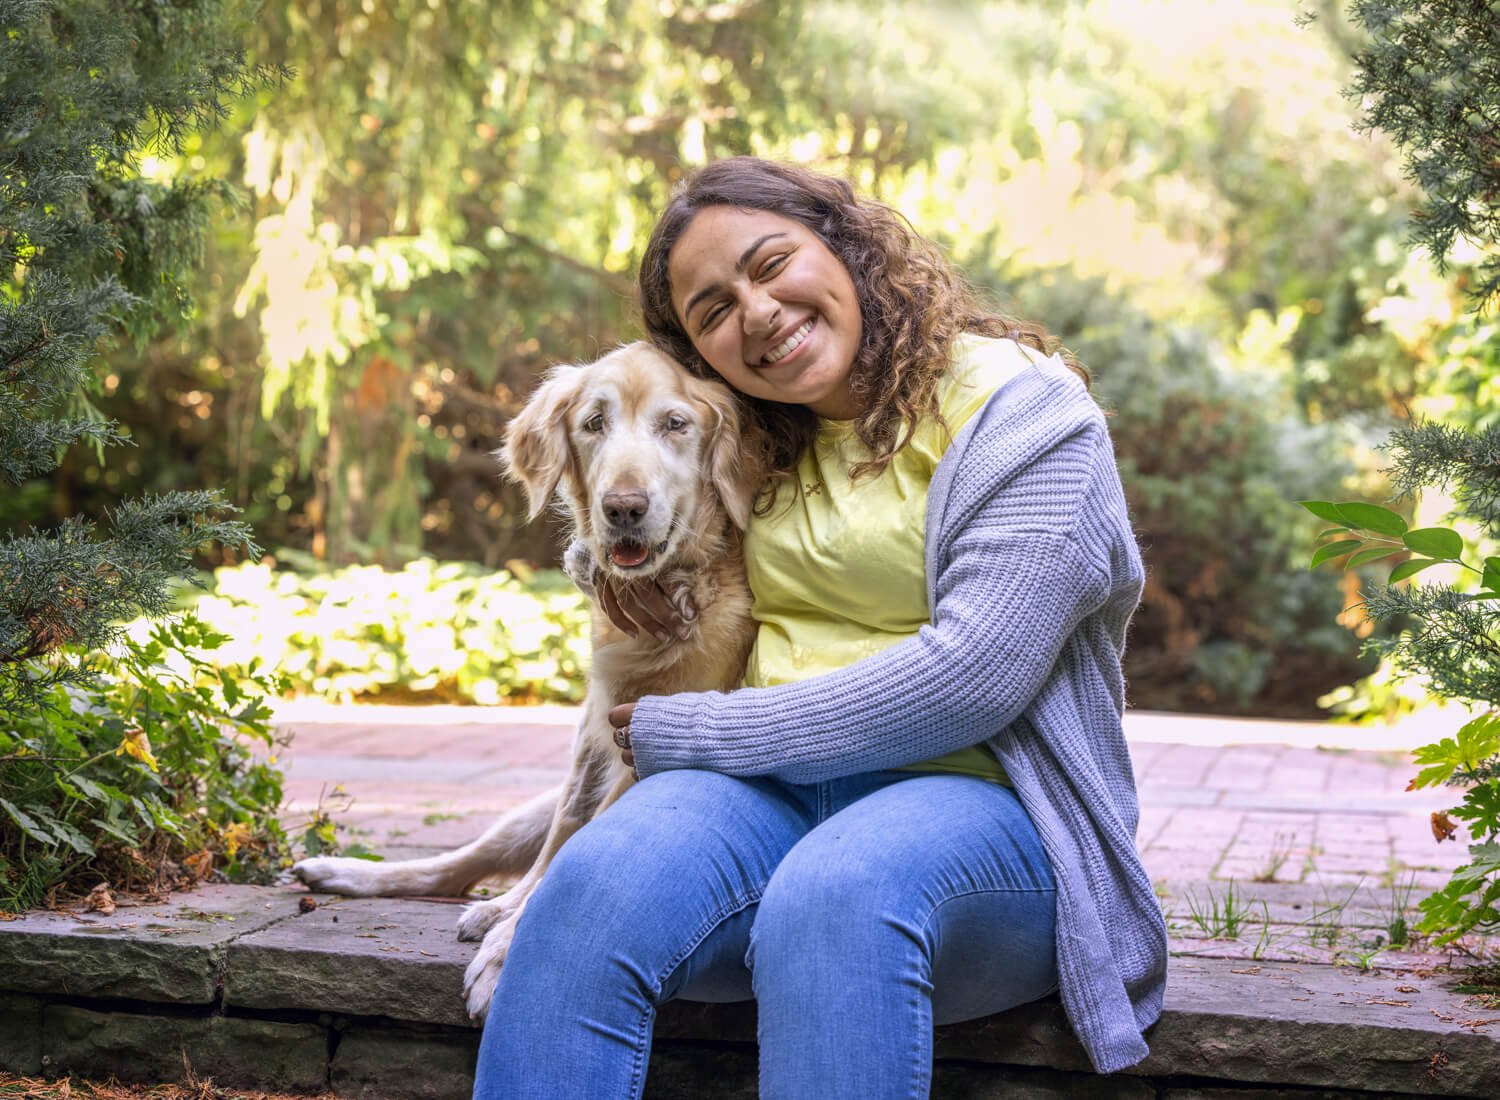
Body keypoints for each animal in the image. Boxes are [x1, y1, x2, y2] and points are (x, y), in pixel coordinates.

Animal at [291, 345, 756, 1020]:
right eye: (593, 424)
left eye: (676, 425)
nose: (623, 508)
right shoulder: (598, 733)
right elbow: (561, 847)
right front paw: (508, 928)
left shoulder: (641, 748)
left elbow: (567, 867)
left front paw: (505, 953)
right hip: (526, 813)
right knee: (462, 866)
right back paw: (348, 873)